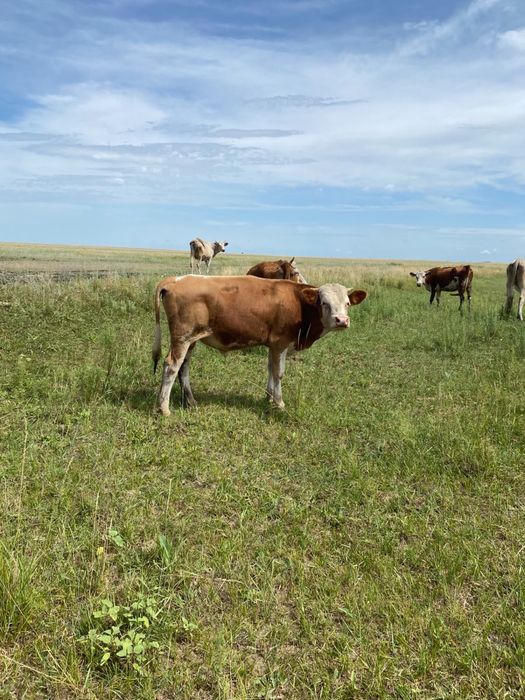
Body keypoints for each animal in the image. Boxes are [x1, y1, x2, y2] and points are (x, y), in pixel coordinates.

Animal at [152, 275, 367, 416]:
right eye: (324, 303)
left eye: (347, 303)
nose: (342, 320)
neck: (299, 303)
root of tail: (175, 279)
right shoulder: (280, 343)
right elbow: (279, 373)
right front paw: (279, 403)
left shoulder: (273, 346)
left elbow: (271, 369)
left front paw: (269, 397)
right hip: (182, 337)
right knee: (171, 366)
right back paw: (164, 408)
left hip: (191, 340)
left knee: (183, 368)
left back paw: (191, 401)